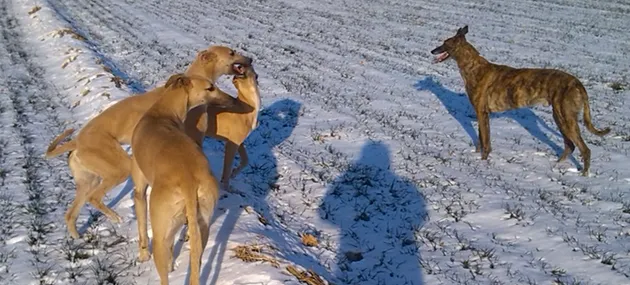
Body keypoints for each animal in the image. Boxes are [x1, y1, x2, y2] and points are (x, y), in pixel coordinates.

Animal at [45, 46, 252, 237]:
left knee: (71, 213)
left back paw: (76, 235)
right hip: (118, 168)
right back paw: (115, 217)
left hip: (89, 179)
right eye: (232, 52)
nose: (250, 59)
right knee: (94, 198)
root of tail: (77, 141)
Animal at [130, 74, 222, 284]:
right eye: (210, 88)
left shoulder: (139, 191)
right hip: (202, 229)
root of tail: (189, 181)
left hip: (159, 234)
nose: (226, 98)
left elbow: (141, 227)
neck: (162, 113)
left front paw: (143, 255)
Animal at [432, 25, 608, 175]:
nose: (432, 50)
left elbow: (486, 142)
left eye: (445, 43)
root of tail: (578, 83)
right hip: (560, 117)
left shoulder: (481, 113)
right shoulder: (482, 114)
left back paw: (584, 175)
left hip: (566, 118)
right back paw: (556, 166)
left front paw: (482, 163)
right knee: (570, 145)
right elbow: (481, 140)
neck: (474, 67)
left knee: (584, 149)